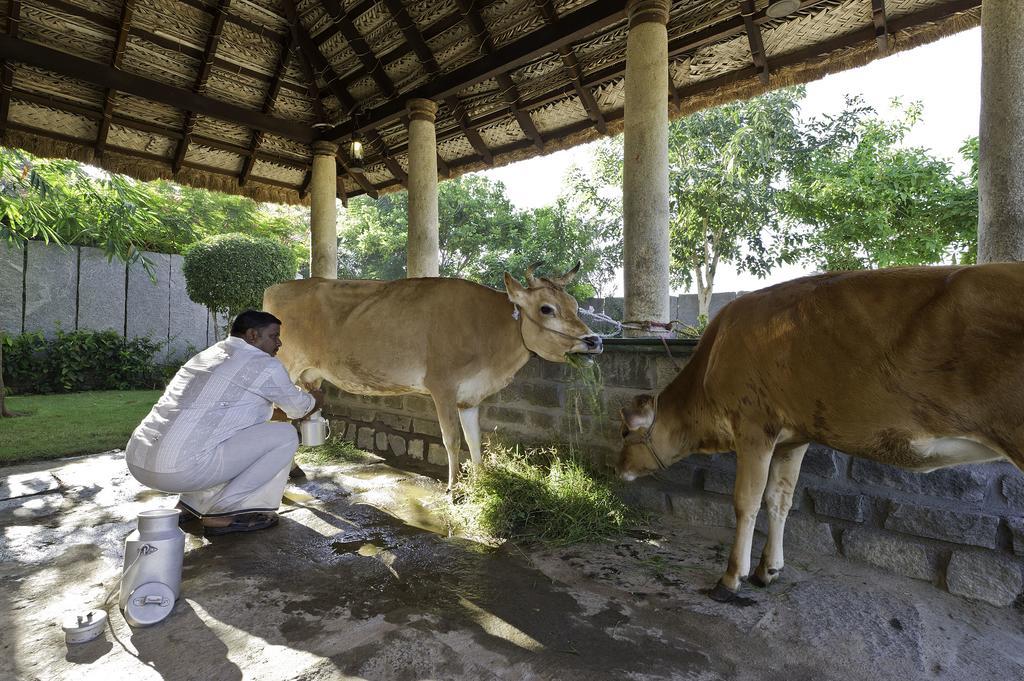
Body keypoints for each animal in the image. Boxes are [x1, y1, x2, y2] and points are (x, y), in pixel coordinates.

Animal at [264, 261, 598, 489]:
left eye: (575, 305)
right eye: (546, 309)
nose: (595, 340)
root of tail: (277, 287)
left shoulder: (470, 396)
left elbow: (475, 440)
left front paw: (481, 481)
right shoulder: (442, 386)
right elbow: (451, 440)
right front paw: (453, 489)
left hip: (307, 376)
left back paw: (294, 470)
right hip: (284, 368)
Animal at [614, 264, 1024, 602]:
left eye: (623, 432)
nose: (617, 469)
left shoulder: (754, 426)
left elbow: (746, 501)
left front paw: (731, 579)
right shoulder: (794, 437)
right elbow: (779, 499)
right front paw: (768, 570)